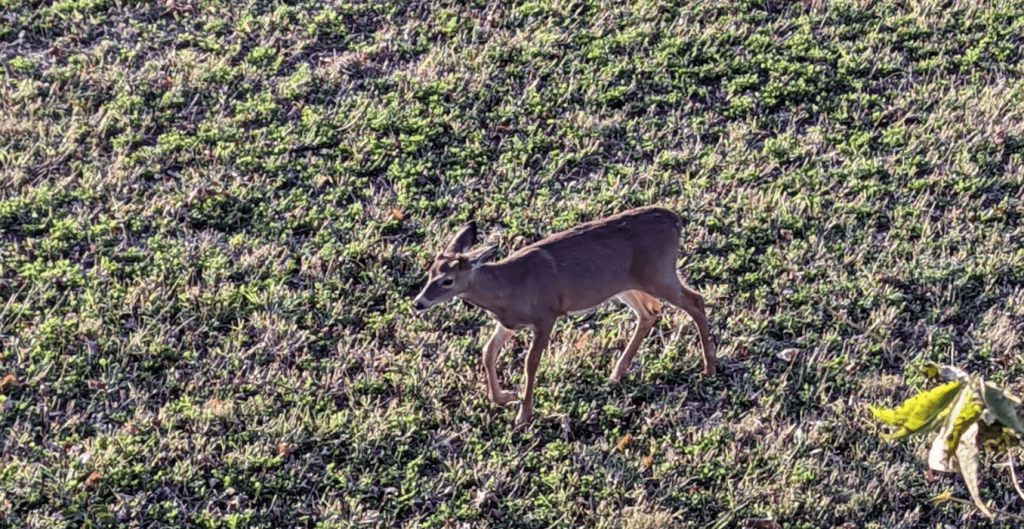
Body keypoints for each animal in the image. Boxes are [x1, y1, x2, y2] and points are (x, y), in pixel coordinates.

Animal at [411, 206, 716, 429]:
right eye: (429, 272)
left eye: (447, 280)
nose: (418, 303)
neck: (508, 287)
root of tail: (675, 220)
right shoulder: (509, 323)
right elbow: (488, 352)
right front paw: (504, 397)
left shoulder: (545, 315)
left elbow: (530, 364)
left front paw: (522, 417)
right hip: (626, 284)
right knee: (650, 311)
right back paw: (617, 373)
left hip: (658, 274)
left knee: (695, 302)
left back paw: (708, 368)